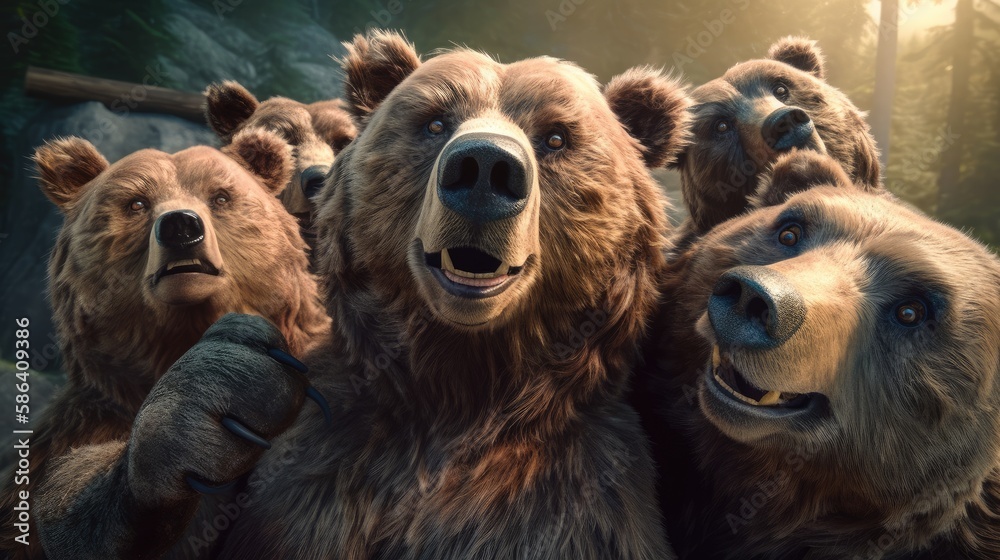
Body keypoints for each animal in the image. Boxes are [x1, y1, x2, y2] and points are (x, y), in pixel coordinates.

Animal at [0, 128, 330, 560]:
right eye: (136, 203)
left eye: (220, 197)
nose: (181, 227)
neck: (179, 335)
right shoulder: (92, 417)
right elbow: (65, 489)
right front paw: (203, 409)